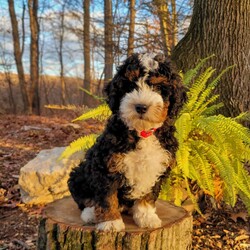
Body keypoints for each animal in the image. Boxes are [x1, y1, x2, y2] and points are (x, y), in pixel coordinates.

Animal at [67, 53, 187, 232]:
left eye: (158, 88)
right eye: (130, 86)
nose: (141, 107)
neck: (142, 131)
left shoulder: (156, 167)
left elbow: (148, 195)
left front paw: (146, 217)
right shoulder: (106, 165)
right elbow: (107, 196)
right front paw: (110, 222)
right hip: (79, 174)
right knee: (84, 199)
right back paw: (90, 214)